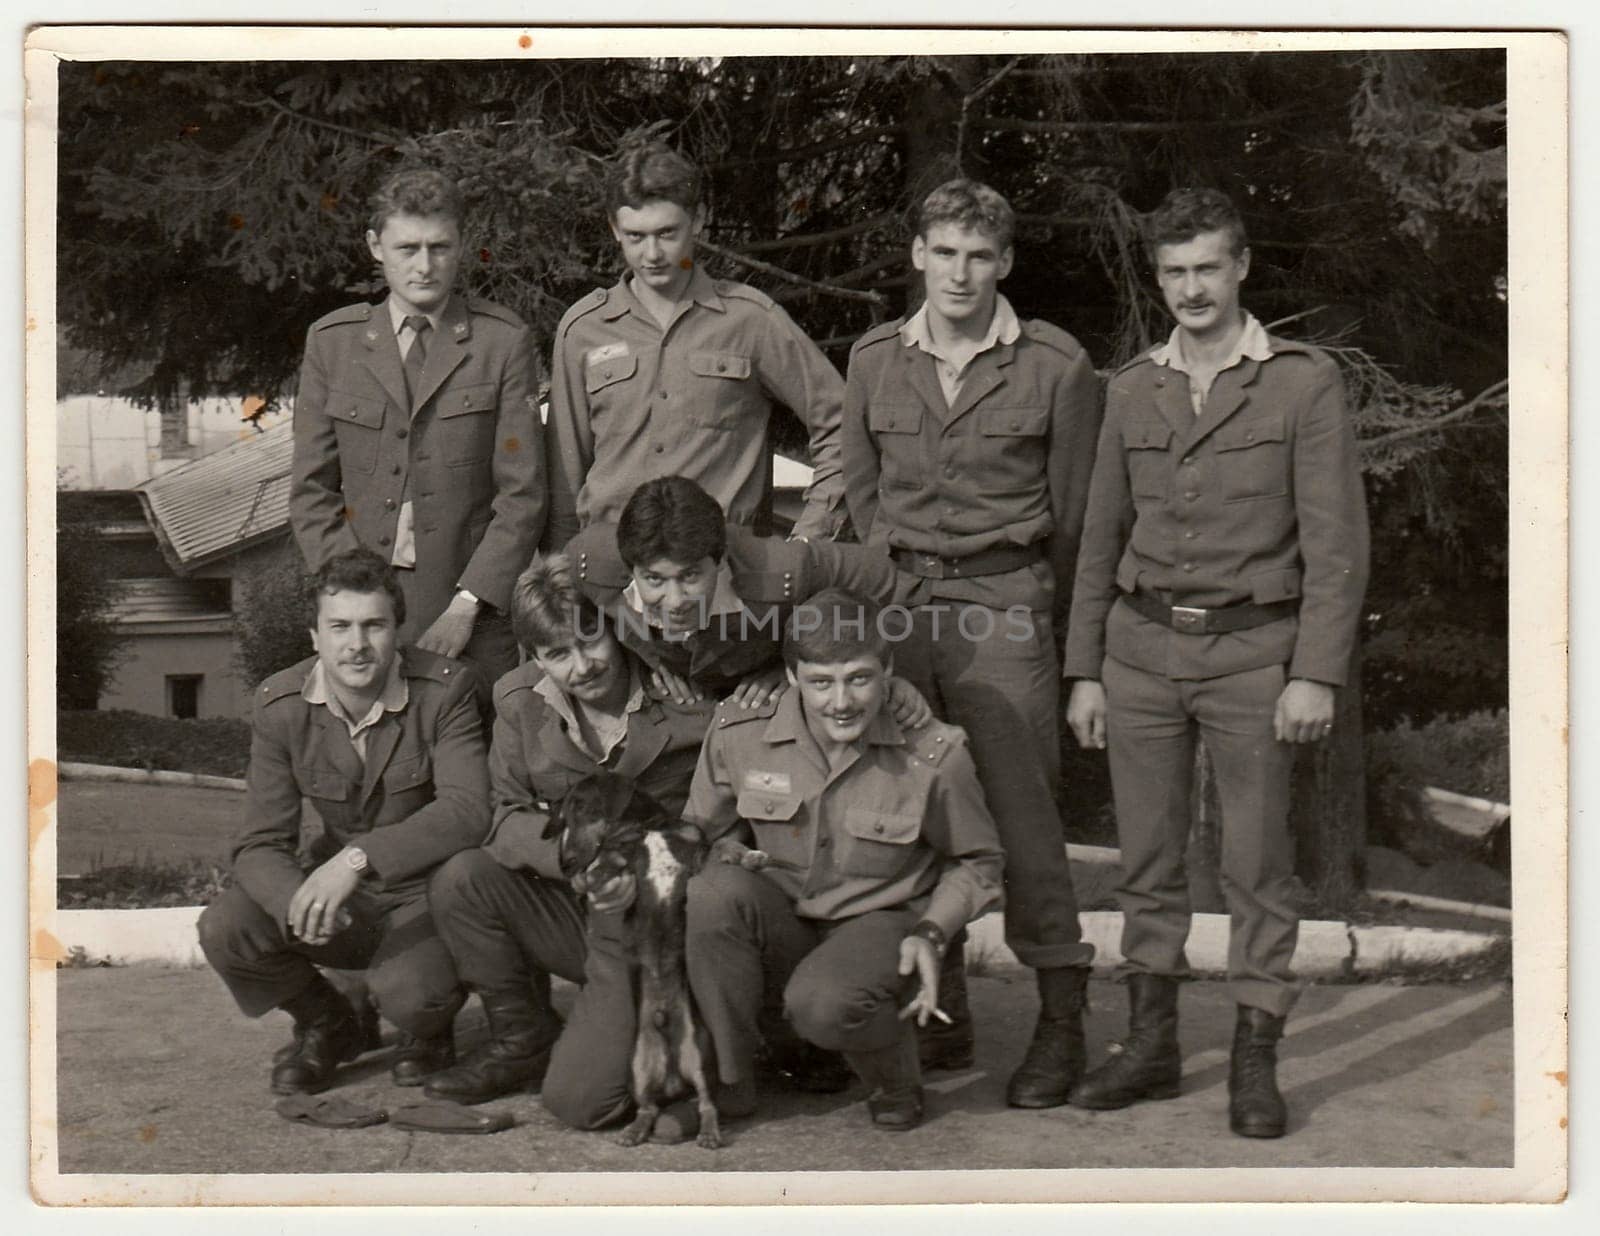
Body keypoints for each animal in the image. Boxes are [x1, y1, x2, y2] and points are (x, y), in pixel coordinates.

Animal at [544, 771, 768, 1146]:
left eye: (581, 806)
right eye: (563, 816)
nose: (565, 864)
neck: (647, 828)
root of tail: (672, 1075)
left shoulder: (697, 853)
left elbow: (722, 845)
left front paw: (750, 855)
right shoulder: (615, 857)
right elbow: (607, 865)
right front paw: (594, 877)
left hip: (700, 1056)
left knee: (707, 1102)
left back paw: (708, 1133)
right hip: (637, 1068)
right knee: (647, 1108)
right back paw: (633, 1132)